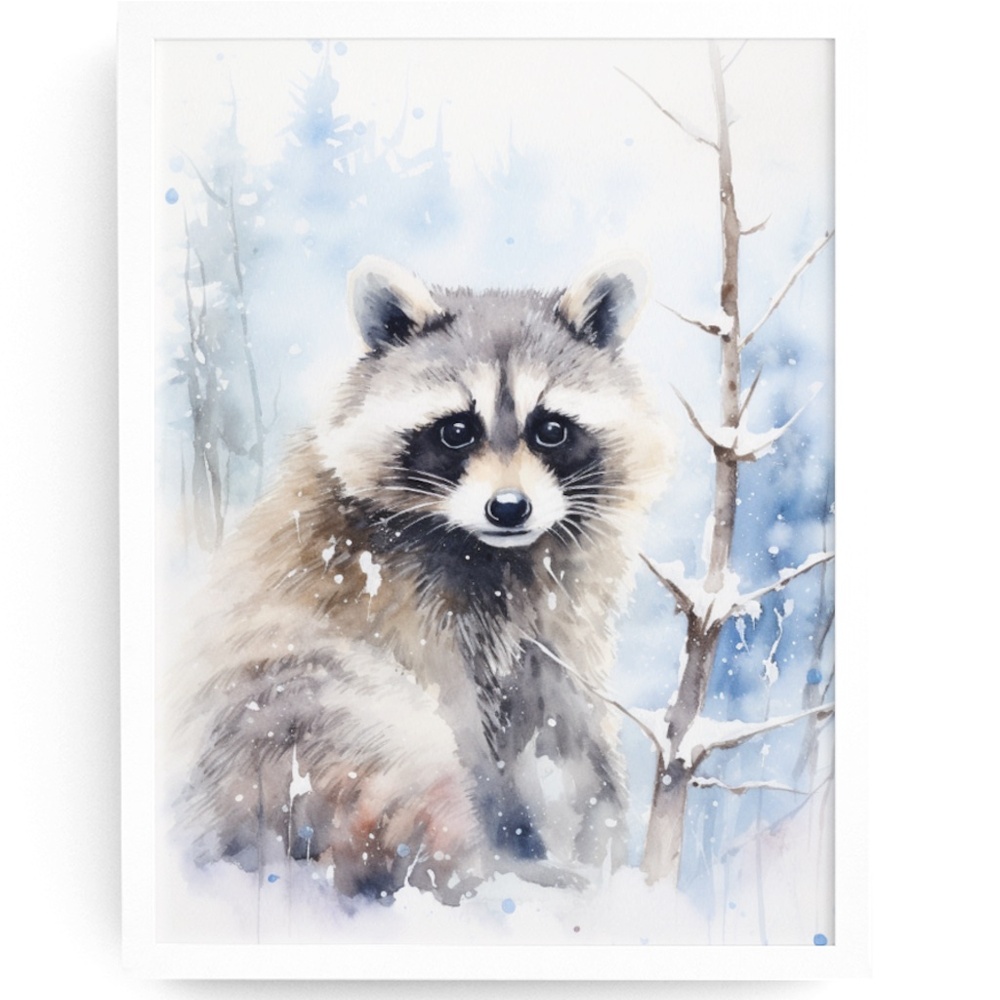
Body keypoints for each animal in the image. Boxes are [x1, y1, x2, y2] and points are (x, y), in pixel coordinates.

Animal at [173, 256, 669, 906]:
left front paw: (605, 836)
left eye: (551, 430)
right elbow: (460, 728)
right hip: (288, 717)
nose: (508, 508)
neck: (496, 553)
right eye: (457, 431)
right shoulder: (393, 598)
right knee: (397, 743)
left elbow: (574, 718)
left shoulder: (561, 606)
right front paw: (513, 840)